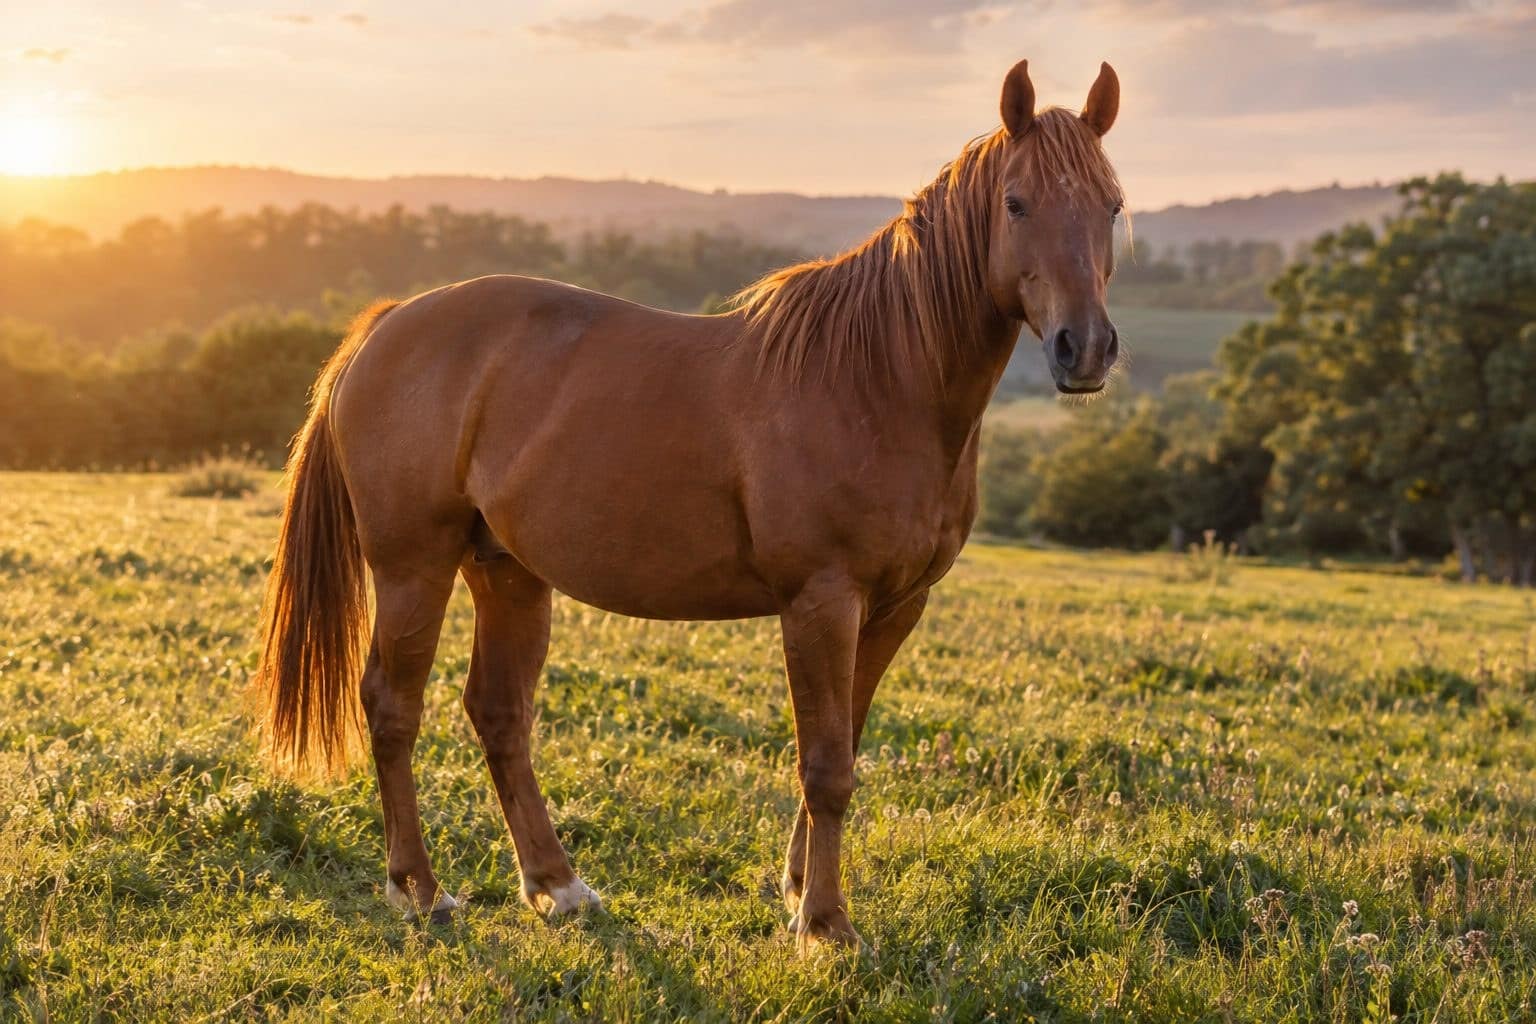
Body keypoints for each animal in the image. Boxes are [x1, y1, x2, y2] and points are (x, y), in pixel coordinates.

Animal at [255, 58, 1125, 950]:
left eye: (1112, 205)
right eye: (1016, 203)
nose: (1085, 350)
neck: (877, 379)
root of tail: (389, 323)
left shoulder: (894, 608)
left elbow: (844, 747)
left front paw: (799, 891)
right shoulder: (821, 601)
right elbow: (826, 766)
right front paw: (826, 926)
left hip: (507, 572)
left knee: (499, 715)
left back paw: (557, 885)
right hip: (412, 568)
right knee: (393, 708)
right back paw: (421, 890)